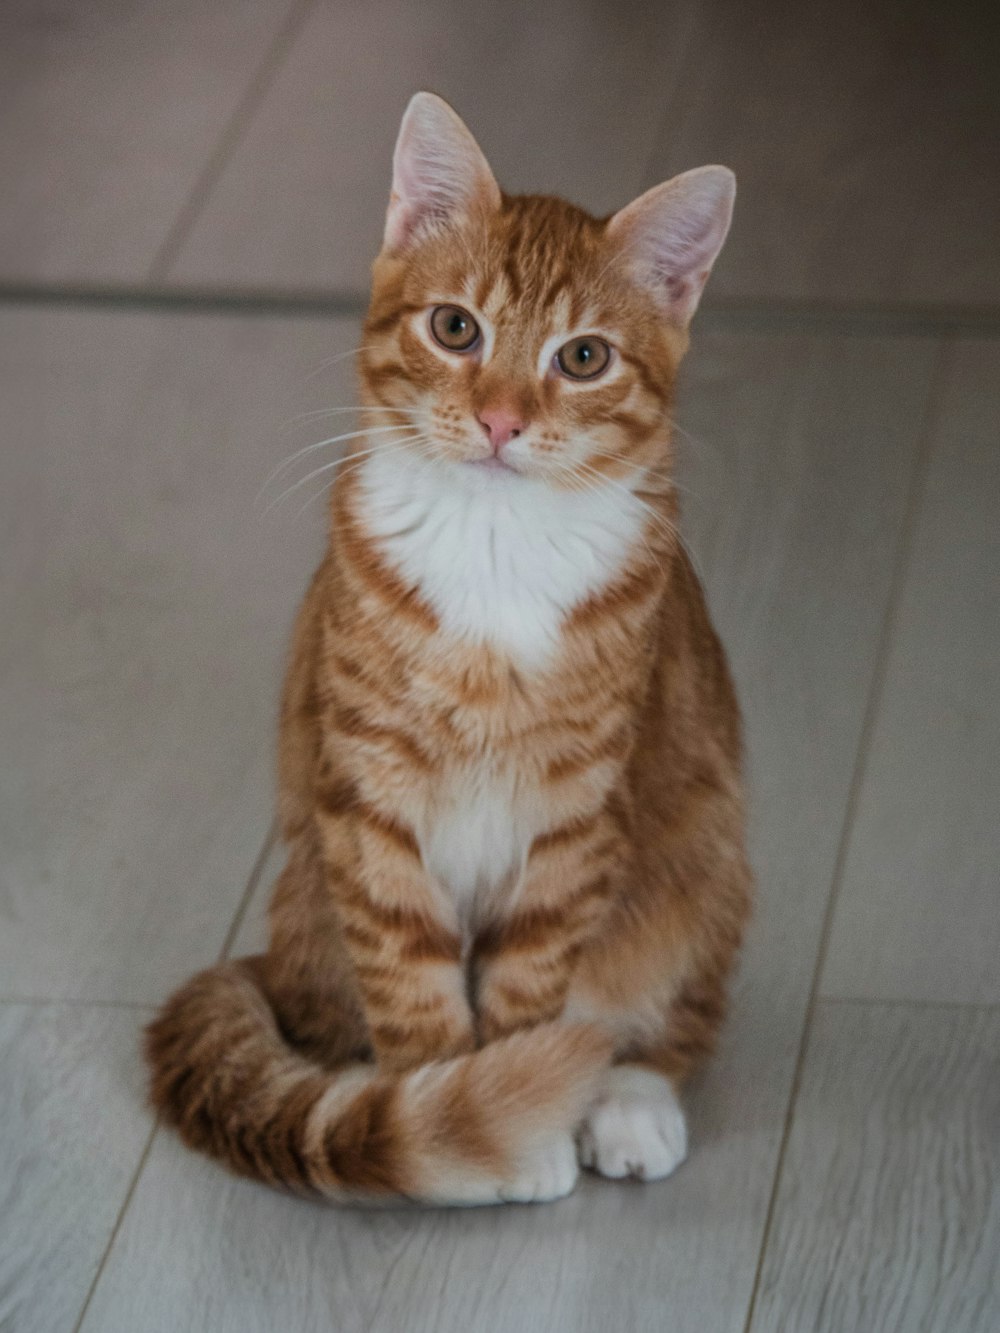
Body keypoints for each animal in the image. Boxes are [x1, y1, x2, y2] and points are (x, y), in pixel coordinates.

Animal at [146, 88, 752, 1205]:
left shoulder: (574, 817)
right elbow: (412, 983)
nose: (501, 418)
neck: (494, 547)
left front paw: (522, 1099)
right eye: (455, 328)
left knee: (672, 1013)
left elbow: (531, 977)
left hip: (704, 855)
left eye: (584, 357)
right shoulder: (369, 802)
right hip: (312, 895)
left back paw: (628, 1100)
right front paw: (454, 1112)